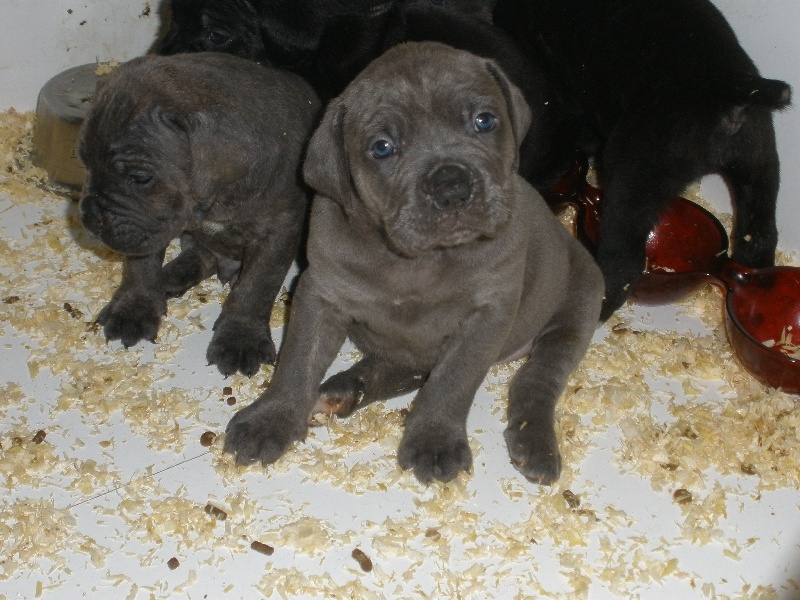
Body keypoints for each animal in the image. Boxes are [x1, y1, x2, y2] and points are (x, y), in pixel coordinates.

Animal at [78, 54, 320, 378]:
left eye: (140, 178)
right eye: (84, 163)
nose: (90, 220)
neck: (215, 199)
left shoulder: (279, 231)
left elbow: (256, 286)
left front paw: (240, 338)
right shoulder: (151, 228)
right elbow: (140, 266)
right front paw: (134, 308)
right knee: (200, 253)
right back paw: (171, 276)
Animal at [222, 42, 604, 486]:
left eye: (484, 120)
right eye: (382, 147)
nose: (452, 186)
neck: (417, 262)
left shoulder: (488, 314)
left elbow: (453, 380)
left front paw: (434, 440)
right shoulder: (320, 294)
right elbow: (298, 361)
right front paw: (271, 419)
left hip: (578, 307)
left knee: (537, 378)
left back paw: (535, 442)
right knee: (406, 369)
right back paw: (346, 389)